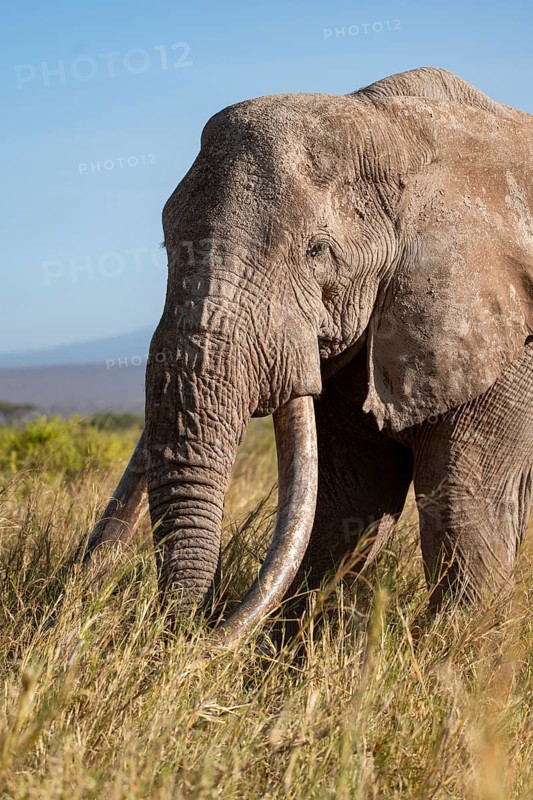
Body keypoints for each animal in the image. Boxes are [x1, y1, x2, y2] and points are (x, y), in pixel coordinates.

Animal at [83, 67, 533, 647]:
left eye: (318, 251)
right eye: (165, 245)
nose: (192, 632)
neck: (398, 130)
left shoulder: (507, 337)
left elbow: (467, 508)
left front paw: (452, 661)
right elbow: (350, 501)